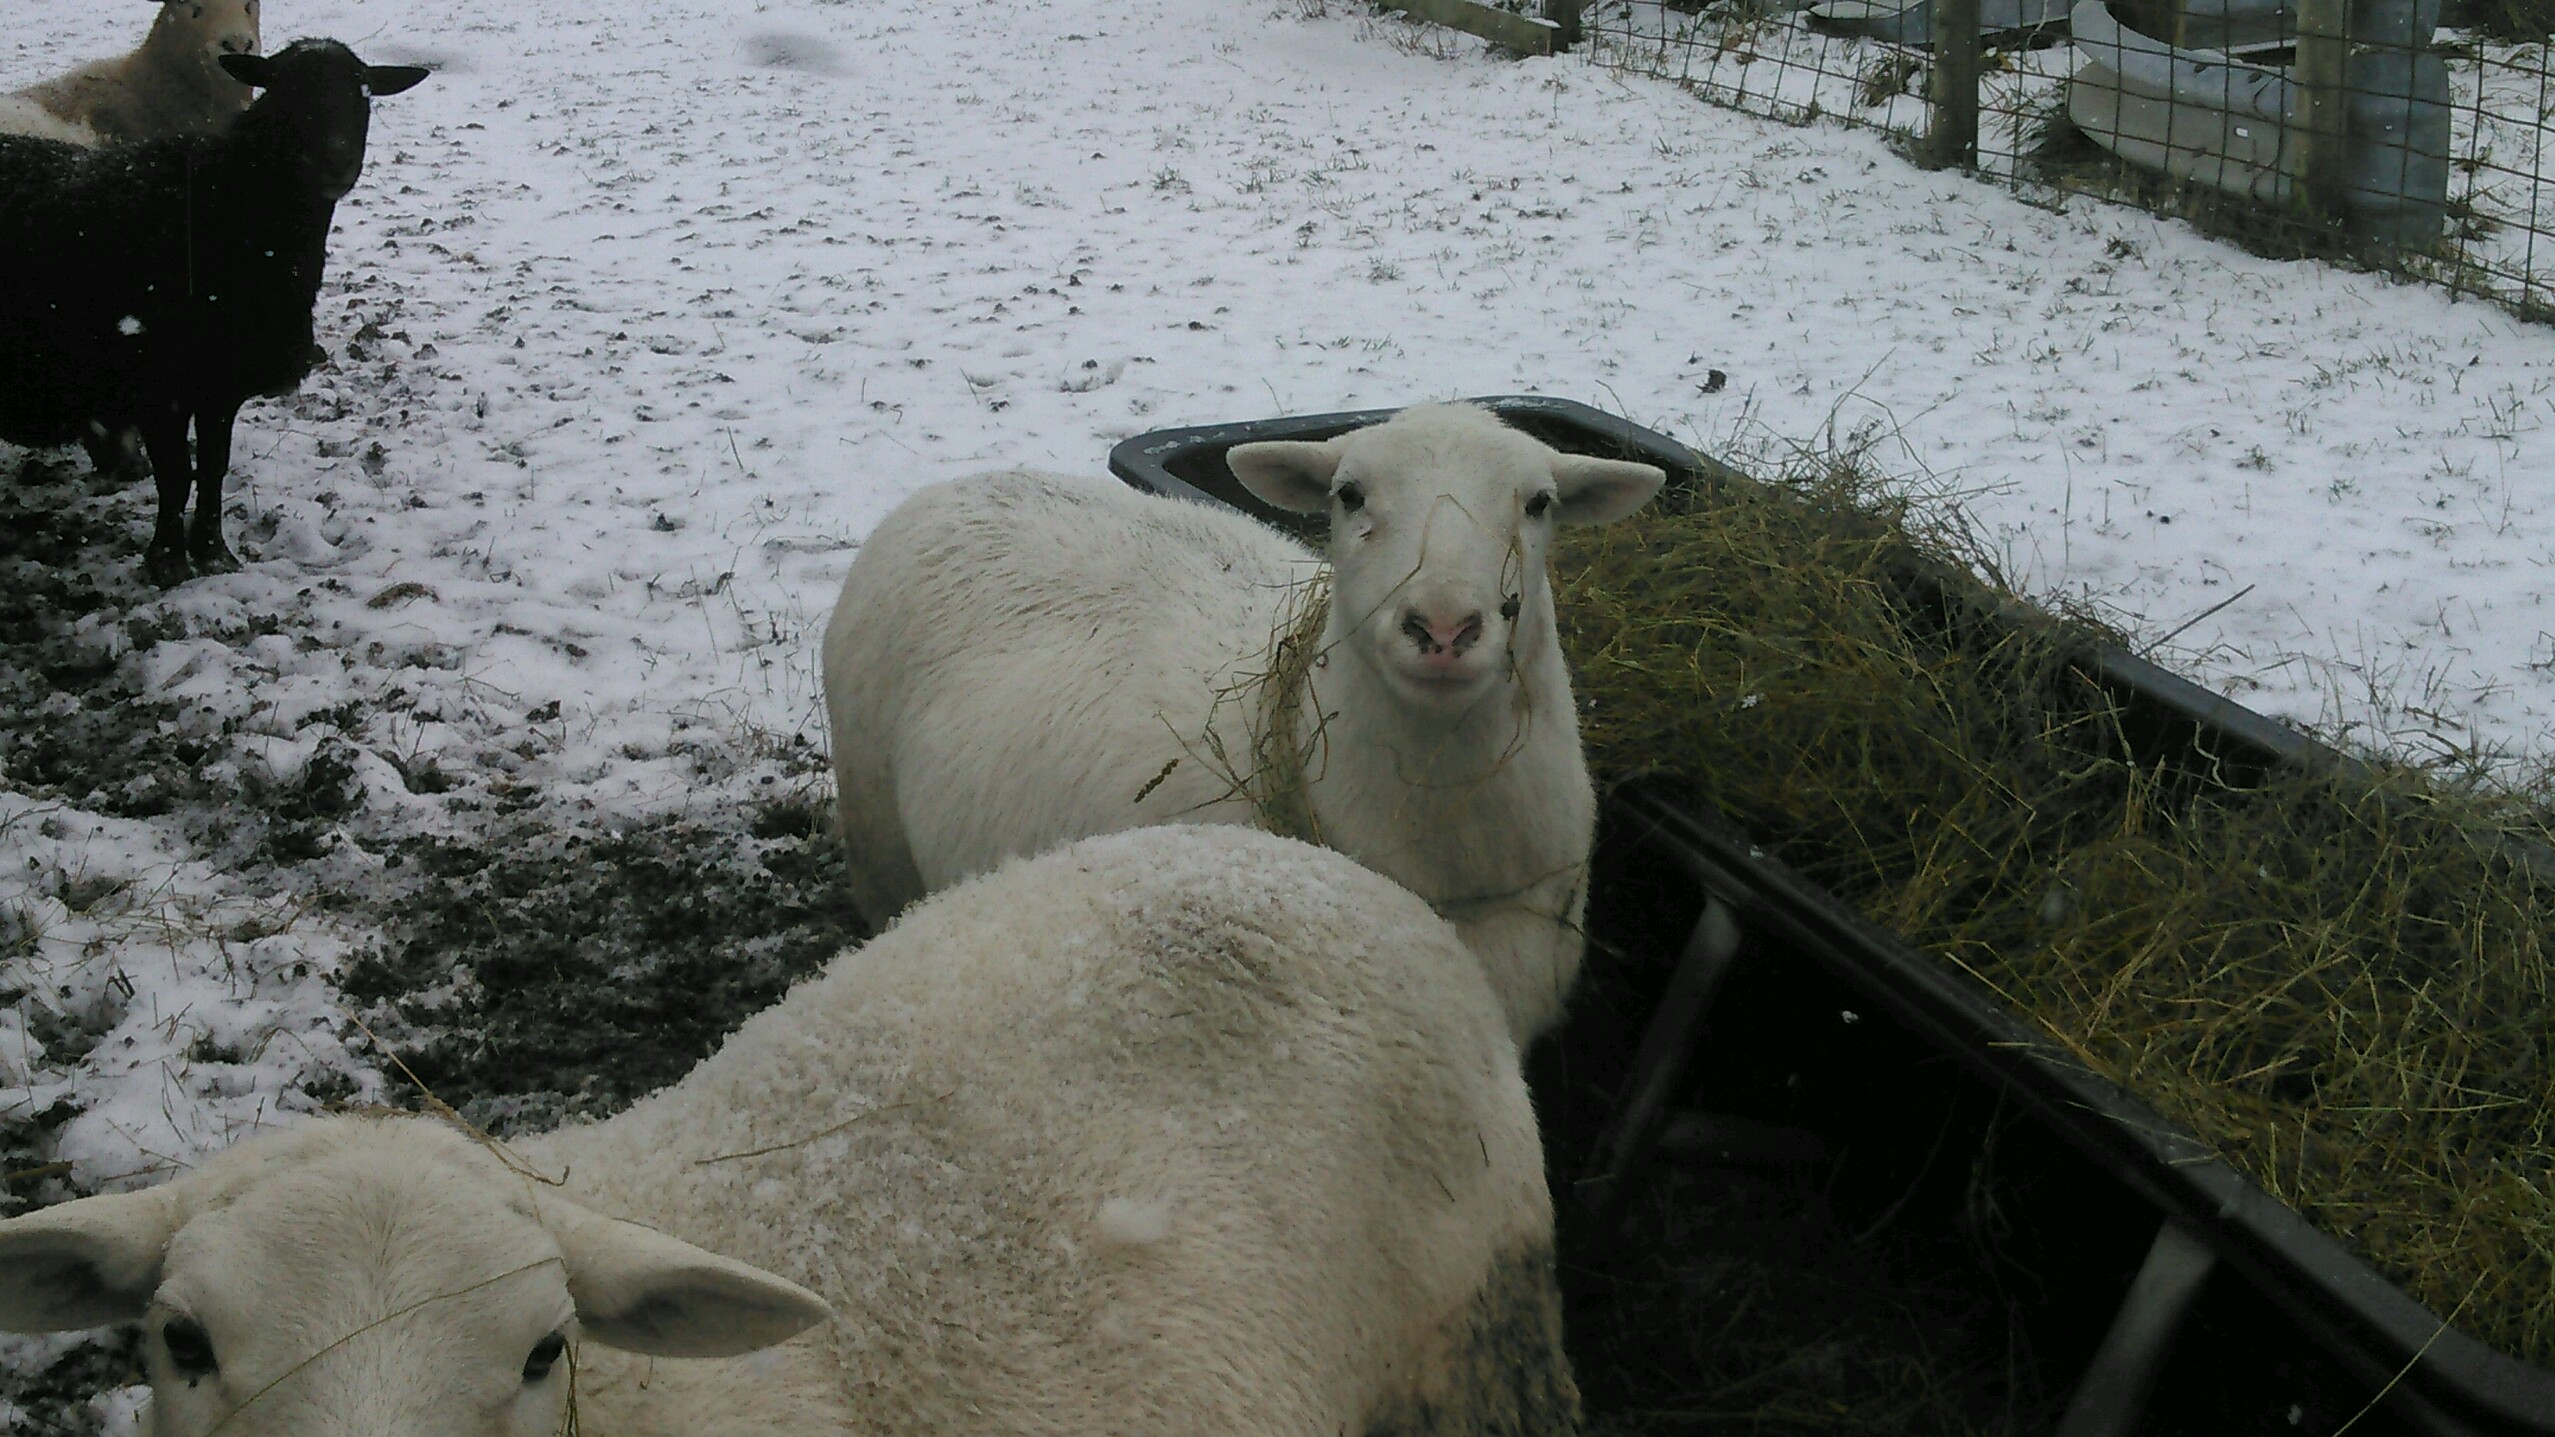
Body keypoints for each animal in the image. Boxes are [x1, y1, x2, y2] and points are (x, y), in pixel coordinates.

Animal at [0, 39, 427, 585]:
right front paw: (167, 562)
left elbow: (213, 468)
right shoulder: (161, 385)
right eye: (281, 89)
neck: (230, 213)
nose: (336, 162)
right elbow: (177, 474)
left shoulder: (221, 385)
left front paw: (214, 554)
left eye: (363, 93)